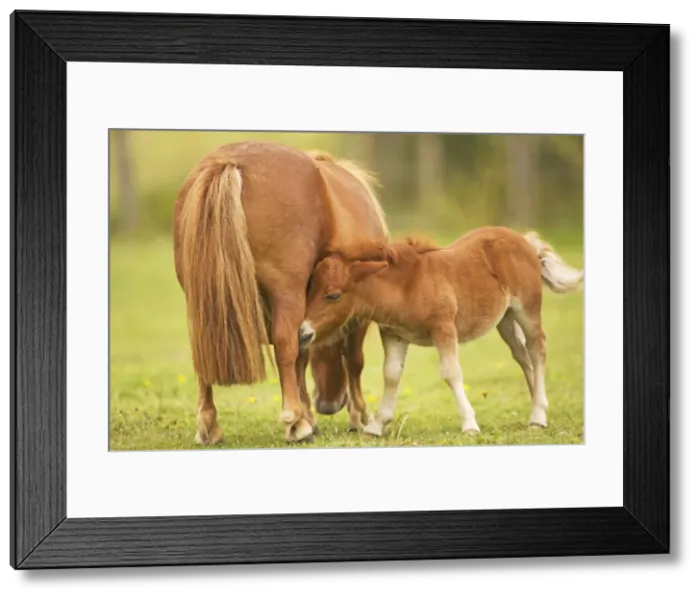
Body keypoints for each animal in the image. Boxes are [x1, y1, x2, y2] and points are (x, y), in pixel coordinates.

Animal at [172, 140, 389, 444]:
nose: (328, 404)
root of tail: (228, 162)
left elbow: (303, 358)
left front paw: (309, 415)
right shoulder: (353, 314)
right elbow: (351, 360)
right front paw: (357, 417)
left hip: (201, 303)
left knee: (204, 355)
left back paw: (209, 427)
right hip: (286, 296)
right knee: (287, 344)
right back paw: (296, 423)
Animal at [298, 225, 584, 436]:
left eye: (333, 295)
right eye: (309, 289)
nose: (303, 334)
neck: (407, 285)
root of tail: (524, 241)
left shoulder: (443, 329)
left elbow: (451, 373)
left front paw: (469, 424)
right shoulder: (394, 335)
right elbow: (391, 375)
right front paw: (377, 425)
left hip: (527, 309)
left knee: (538, 349)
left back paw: (538, 414)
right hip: (505, 319)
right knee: (523, 357)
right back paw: (537, 409)